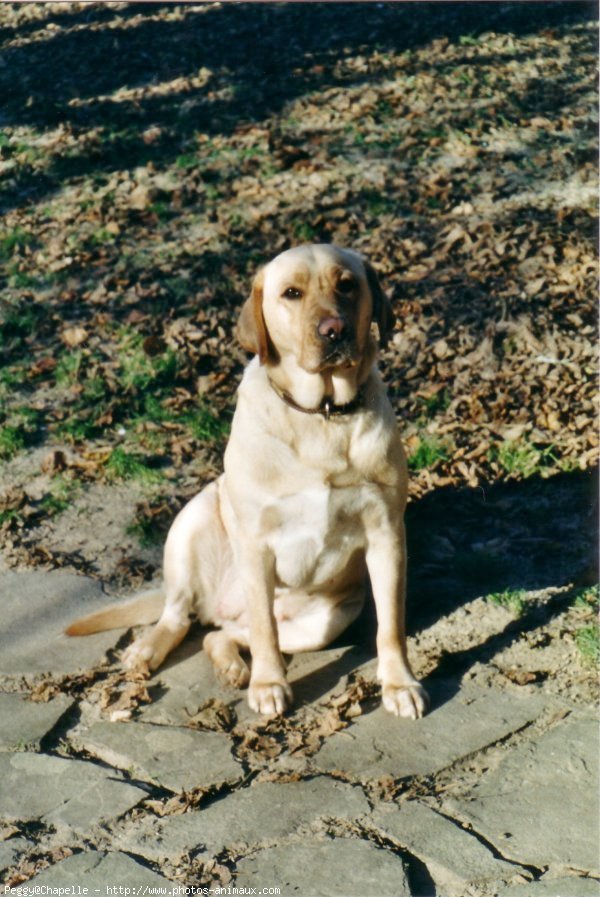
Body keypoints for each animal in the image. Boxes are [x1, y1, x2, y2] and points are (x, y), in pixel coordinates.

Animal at [68, 245, 428, 720]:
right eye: (291, 293)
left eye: (347, 285)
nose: (334, 329)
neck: (321, 414)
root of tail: (217, 605)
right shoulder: (256, 543)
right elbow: (264, 630)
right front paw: (269, 684)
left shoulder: (386, 532)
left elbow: (390, 625)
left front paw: (399, 683)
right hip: (194, 519)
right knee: (182, 616)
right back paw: (151, 649)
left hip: (325, 622)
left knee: (218, 634)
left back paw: (232, 666)